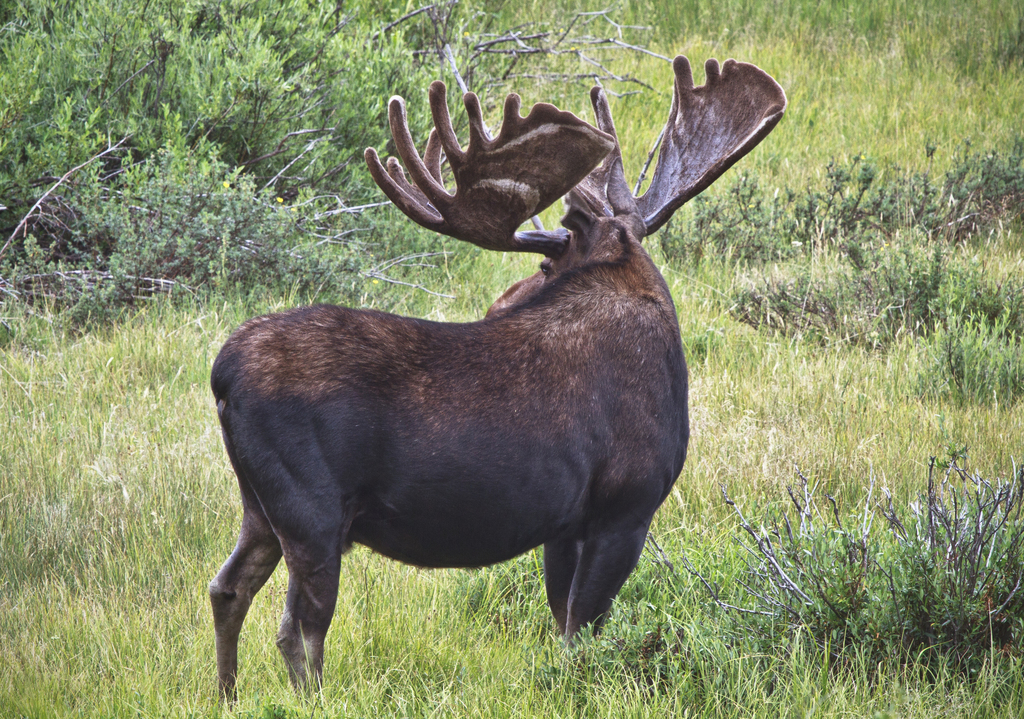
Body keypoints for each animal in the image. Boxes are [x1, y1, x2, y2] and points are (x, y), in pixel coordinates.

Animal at [205, 54, 782, 696]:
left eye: (545, 265)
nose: (499, 303)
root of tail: (223, 376)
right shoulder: (626, 505)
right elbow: (583, 628)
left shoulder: (565, 523)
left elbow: (563, 620)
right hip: (312, 511)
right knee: (299, 629)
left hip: (260, 505)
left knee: (227, 588)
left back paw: (228, 696)